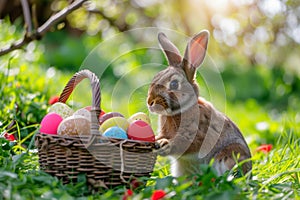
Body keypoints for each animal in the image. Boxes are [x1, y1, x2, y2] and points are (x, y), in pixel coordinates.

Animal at [147, 30, 251, 177]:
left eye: (174, 84)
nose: (150, 102)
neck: (179, 111)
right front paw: (156, 140)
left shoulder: (195, 134)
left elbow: (181, 143)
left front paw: (164, 144)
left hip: (230, 155)